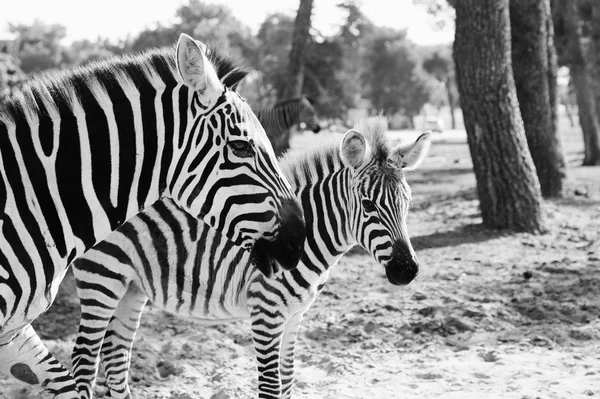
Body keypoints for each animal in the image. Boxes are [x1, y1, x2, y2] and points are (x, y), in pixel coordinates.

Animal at [70, 117, 428, 398]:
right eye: (368, 205)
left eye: (408, 202)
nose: (407, 270)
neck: (309, 236)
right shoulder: (265, 309)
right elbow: (270, 388)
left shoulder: (295, 314)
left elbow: (288, 381)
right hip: (102, 279)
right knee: (84, 362)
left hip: (131, 287)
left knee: (116, 361)